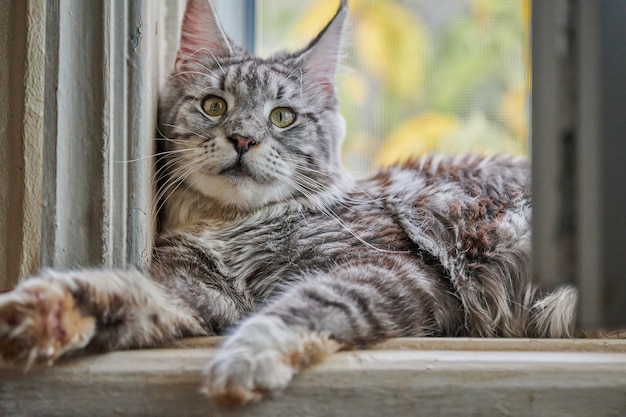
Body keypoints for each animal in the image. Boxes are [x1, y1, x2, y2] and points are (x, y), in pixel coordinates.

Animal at [0, 0, 576, 406]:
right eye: (215, 106)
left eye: (282, 117)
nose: (243, 138)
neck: (233, 225)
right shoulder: (198, 287)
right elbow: (123, 288)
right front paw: (44, 312)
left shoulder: (394, 267)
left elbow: (307, 304)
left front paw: (244, 360)